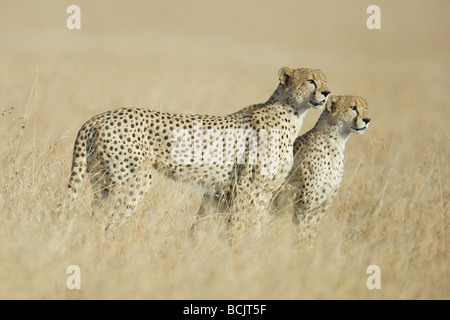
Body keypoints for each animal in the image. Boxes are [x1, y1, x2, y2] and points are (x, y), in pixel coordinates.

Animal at [67, 68, 328, 218]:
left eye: (325, 81)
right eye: (310, 81)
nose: (327, 93)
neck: (293, 113)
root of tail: (96, 118)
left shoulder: (261, 191)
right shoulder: (244, 188)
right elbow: (239, 225)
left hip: (101, 182)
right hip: (131, 181)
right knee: (110, 219)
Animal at [272, 94, 370, 232]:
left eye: (365, 108)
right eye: (352, 107)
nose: (367, 119)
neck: (337, 141)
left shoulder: (321, 207)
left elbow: (310, 232)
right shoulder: (302, 204)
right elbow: (300, 231)